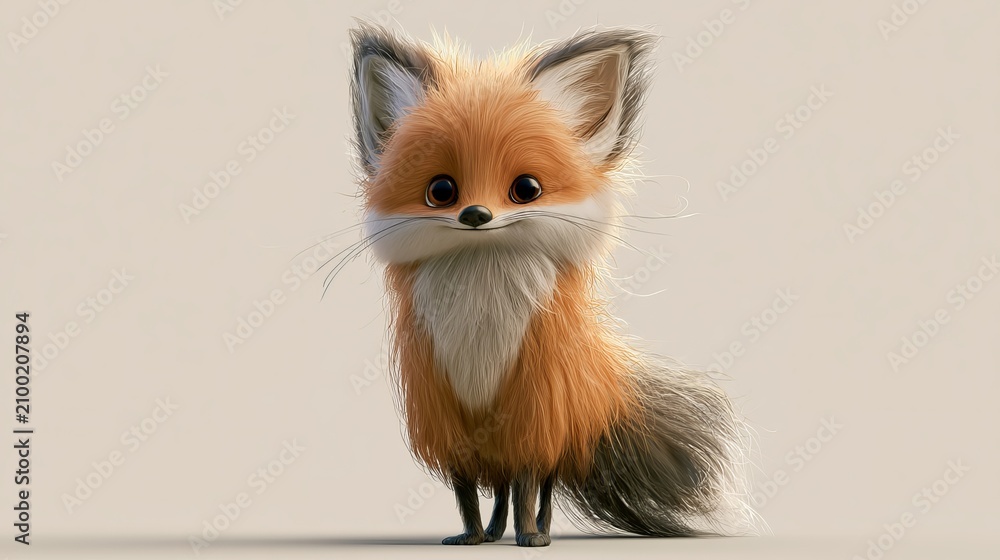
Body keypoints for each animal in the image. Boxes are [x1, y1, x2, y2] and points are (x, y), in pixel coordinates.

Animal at [345, 22, 753, 547]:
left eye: (526, 189)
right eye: (441, 191)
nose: (476, 215)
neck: (481, 333)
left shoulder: (530, 421)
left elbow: (526, 488)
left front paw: (529, 537)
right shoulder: (448, 425)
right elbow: (466, 495)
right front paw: (472, 537)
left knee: (541, 489)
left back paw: (535, 531)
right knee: (497, 490)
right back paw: (493, 533)